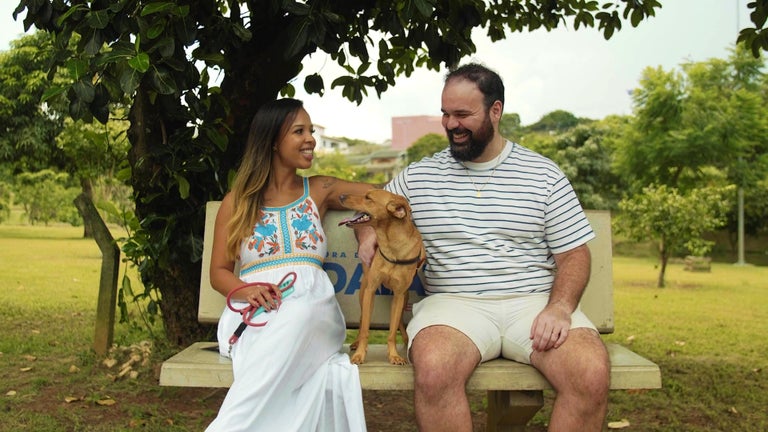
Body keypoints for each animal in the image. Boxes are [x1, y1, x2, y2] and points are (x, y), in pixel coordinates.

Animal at [340, 189, 426, 364]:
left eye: (368, 198)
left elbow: (392, 330)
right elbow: (365, 328)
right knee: (361, 319)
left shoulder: (399, 295)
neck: (391, 246)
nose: (342, 196)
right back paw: (357, 342)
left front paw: (394, 355)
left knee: (400, 321)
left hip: (405, 297)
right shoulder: (371, 290)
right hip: (363, 292)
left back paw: (406, 339)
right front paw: (359, 354)